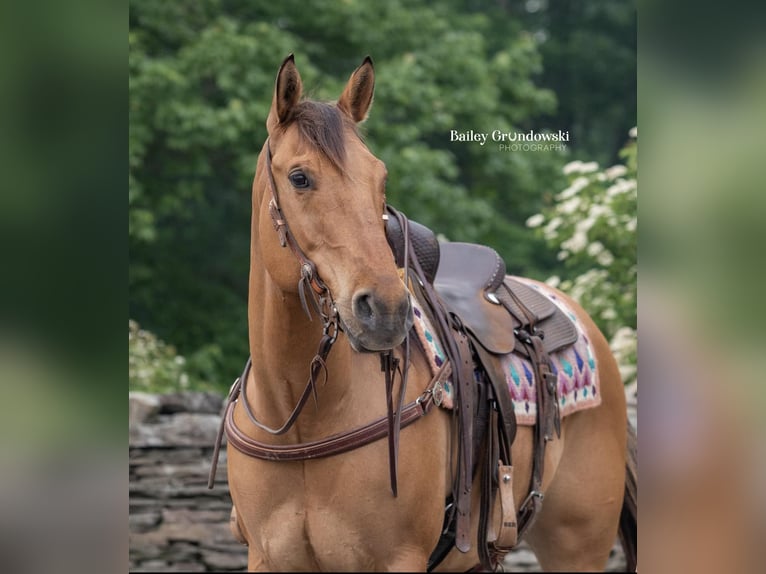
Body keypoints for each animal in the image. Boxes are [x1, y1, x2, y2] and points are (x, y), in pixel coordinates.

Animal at [213, 56, 640, 572]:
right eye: (299, 177)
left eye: (380, 179)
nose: (384, 309)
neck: (301, 425)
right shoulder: (267, 559)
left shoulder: (400, 559)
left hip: (578, 546)